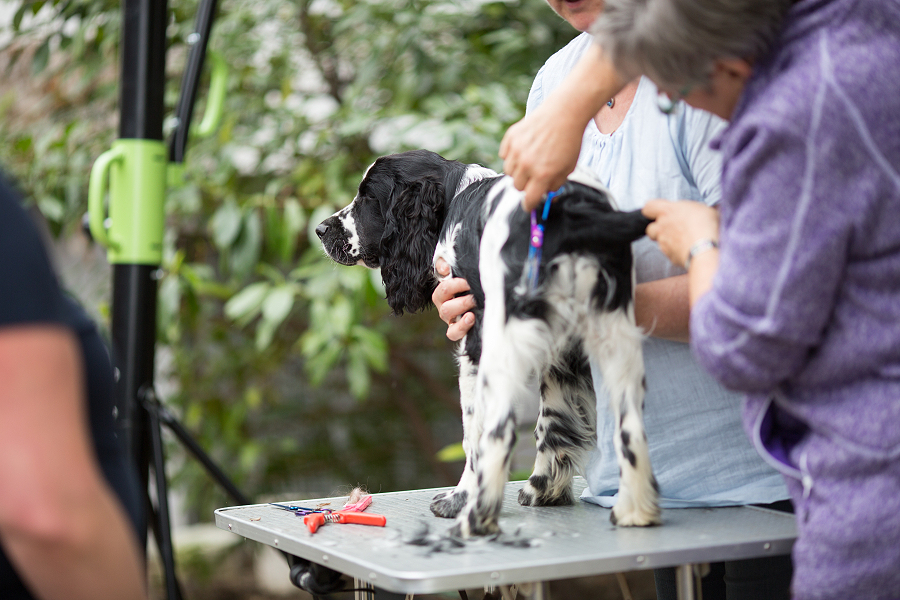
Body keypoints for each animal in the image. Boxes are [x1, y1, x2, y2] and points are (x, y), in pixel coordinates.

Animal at [316, 151, 660, 540]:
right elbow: (553, 419)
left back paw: (475, 518)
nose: (320, 229)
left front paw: (459, 498)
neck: (456, 198)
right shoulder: (561, 351)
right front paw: (544, 489)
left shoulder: (475, 337)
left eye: (368, 198)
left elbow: (474, 434)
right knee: (630, 426)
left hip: (505, 345)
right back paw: (636, 511)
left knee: (499, 432)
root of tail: (569, 213)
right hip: (616, 336)